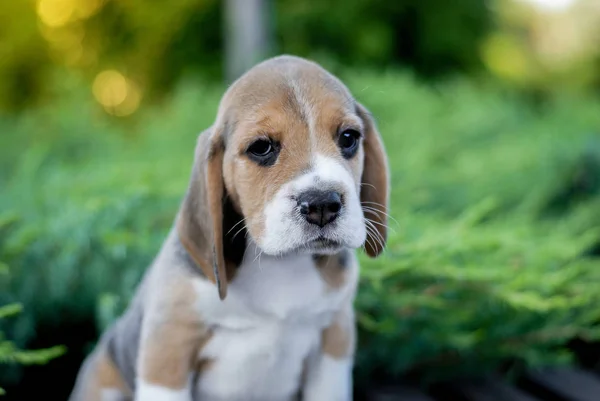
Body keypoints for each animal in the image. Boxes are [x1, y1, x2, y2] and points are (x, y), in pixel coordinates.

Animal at [69, 55, 390, 400]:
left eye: (349, 138)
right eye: (261, 147)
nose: (322, 204)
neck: (279, 264)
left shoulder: (334, 341)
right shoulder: (168, 348)